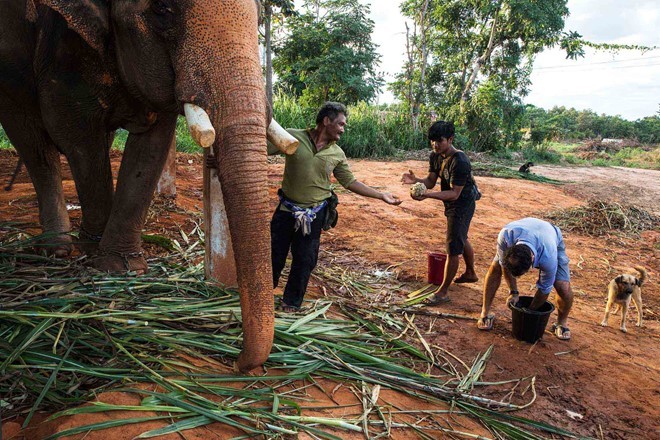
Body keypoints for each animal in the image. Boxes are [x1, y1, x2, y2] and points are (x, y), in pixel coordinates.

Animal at [0, 0, 288, 372]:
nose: (239, 362)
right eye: (162, 11)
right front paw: (99, 258)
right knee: (34, 140)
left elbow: (153, 141)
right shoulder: (61, 43)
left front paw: (124, 268)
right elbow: (74, 130)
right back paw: (58, 249)